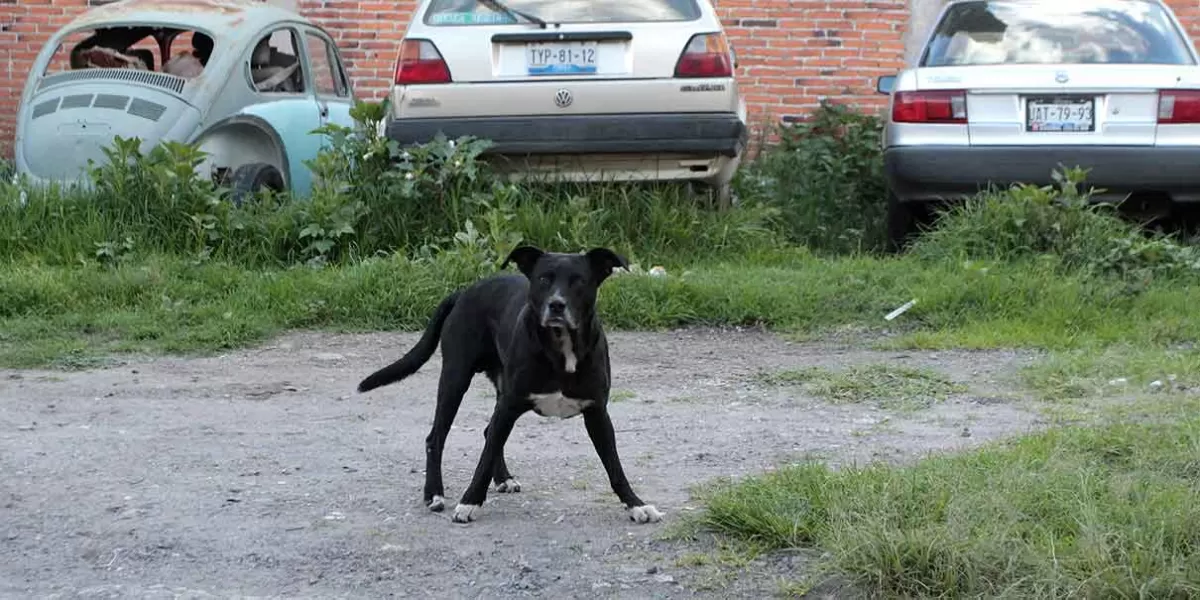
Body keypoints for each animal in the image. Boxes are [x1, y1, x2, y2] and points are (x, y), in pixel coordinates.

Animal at [357, 246, 667, 523]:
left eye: (579, 280)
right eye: (543, 279)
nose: (556, 304)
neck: (561, 345)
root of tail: (464, 292)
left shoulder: (597, 412)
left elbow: (614, 466)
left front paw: (636, 505)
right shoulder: (510, 404)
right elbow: (483, 458)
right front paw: (469, 503)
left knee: (487, 432)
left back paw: (503, 478)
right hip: (455, 378)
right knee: (438, 438)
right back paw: (434, 493)